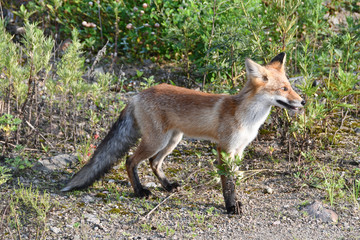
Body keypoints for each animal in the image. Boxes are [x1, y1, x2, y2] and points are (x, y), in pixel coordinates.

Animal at [62, 52, 304, 214]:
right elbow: (227, 184)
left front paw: (237, 202)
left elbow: (234, 179)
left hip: (172, 140)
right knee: (130, 161)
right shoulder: (224, 148)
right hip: (156, 141)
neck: (247, 118)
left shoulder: (239, 150)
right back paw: (140, 191)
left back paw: (167, 186)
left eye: (290, 86)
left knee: (153, 162)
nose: (303, 101)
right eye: (283, 89)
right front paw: (230, 206)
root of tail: (137, 95)